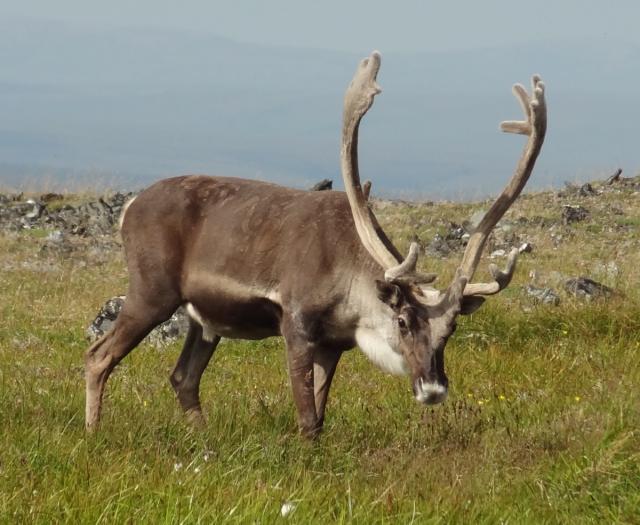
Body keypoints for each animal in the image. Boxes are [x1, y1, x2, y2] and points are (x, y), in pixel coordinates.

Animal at [85, 51, 547, 438]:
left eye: (450, 328)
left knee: (183, 378)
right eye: (402, 321)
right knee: (98, 356)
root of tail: (130, 207)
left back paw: (205, 439)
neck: (351, 286)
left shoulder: (333, 345)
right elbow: (306, 418)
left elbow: (320, 415)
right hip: (152, 293)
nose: (433, 389)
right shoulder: (296, 324)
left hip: (203, 319)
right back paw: (94, 434)